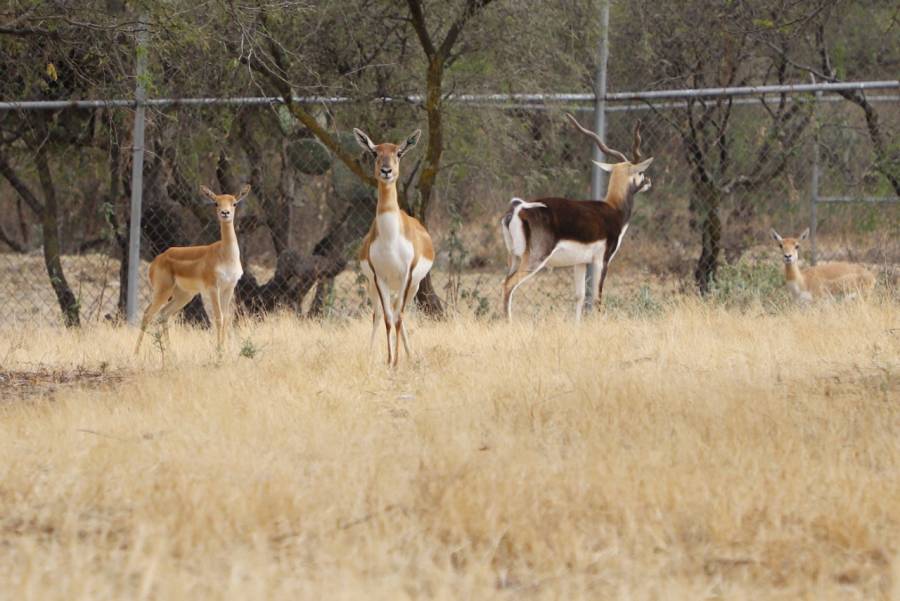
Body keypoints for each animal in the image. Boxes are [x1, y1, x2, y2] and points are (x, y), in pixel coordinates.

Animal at [132, 180, 250, 354]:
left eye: (234, 203)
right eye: (216, 202)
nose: (225, 213)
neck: (225, 255)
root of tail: (157, 261)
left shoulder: (229, 287)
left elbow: (226, 318)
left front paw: (224, 351)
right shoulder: (213, 287)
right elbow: (218, 318)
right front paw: (219, 353)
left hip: (184, 295)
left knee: (164, 314)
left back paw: (170, 354)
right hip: (163, 291)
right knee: (148, 314)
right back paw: (136, 353)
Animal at [354, 126, 434, 366]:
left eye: (399, 152)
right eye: (374, 152)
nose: (387, 171)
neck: (390, 240)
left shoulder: (406, 276)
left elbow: (398, 318)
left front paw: (397, 361)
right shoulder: (379, 277)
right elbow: (389, 319)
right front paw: (390, 361)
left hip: (412, 286)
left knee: (401, 313)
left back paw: (409, 355)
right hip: (375, 285)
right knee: (379, 315)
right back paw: (371, 354)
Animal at [500, 112, 652, 318]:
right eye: (641, 172)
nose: (649, 181)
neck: (613, 209)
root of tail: (518, 208)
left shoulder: (580, 263)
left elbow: (579, 297)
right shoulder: (601, 261)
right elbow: (597, 298)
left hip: (513, 257)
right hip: (534, 258)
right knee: (508, 285)